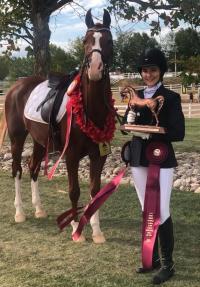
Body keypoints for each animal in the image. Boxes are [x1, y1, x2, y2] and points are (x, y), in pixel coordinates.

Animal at [4, 8, 114, 245]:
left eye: (109, 41)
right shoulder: (71, 155)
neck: (89, 110)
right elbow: (74, 190)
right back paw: (20, 212)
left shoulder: (98, 155)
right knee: (17, 170)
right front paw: (76, 229)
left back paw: (38, 209)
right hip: (17, 138)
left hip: (39, 141)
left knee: (33, 168)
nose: (95, 69)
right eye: (85, 41)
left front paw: (96, 231)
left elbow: (95, 190)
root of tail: (16, 87)